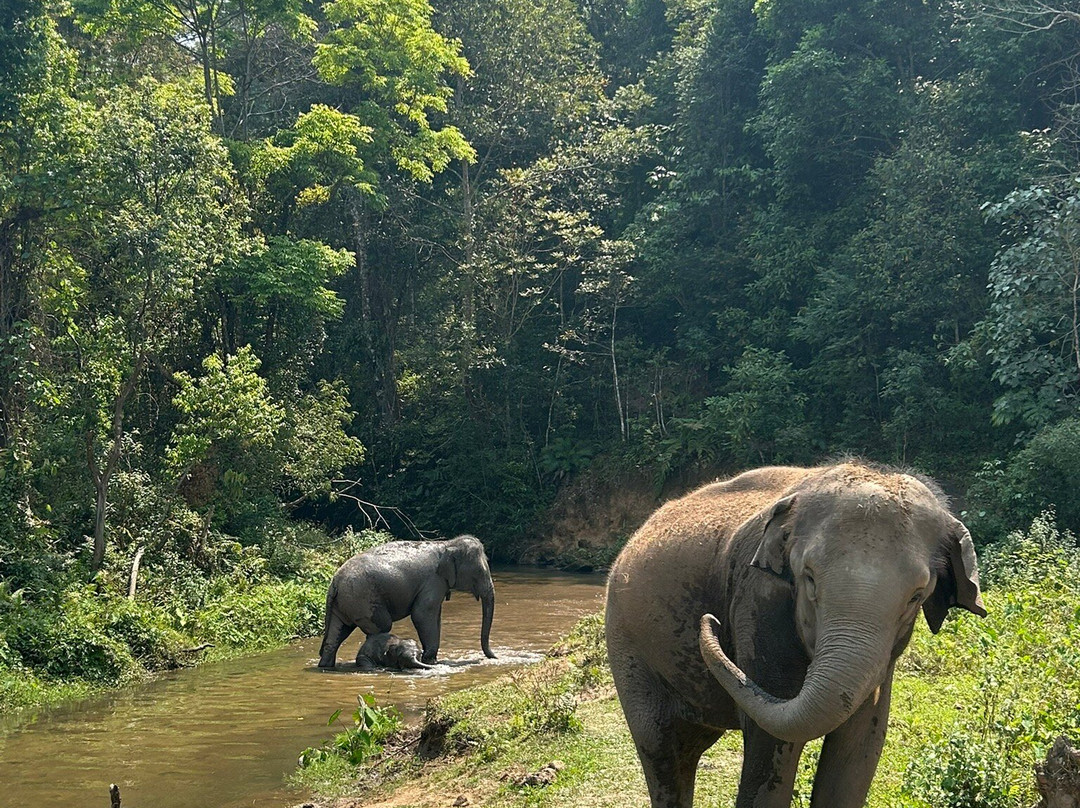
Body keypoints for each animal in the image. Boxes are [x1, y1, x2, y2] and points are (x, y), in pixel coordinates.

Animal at [318, 534, 496, 668]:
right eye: (480, 571)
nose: (494, 657)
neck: (447, 544)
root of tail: (334, 583)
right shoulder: (433, 581)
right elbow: (422, 614)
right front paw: (429, 660)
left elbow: (436, 616)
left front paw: (431, 660)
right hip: (362, 601)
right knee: (382, 626)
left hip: (344, 604)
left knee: (336, 633)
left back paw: (326, 667)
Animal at [605, 462, 987, 808]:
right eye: (810, 578)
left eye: (916, 596)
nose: (711, 621)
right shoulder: (759, 603)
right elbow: (772, 742)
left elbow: (861, 742)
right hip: (625, 639)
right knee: (660, 746)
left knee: (689, 746)